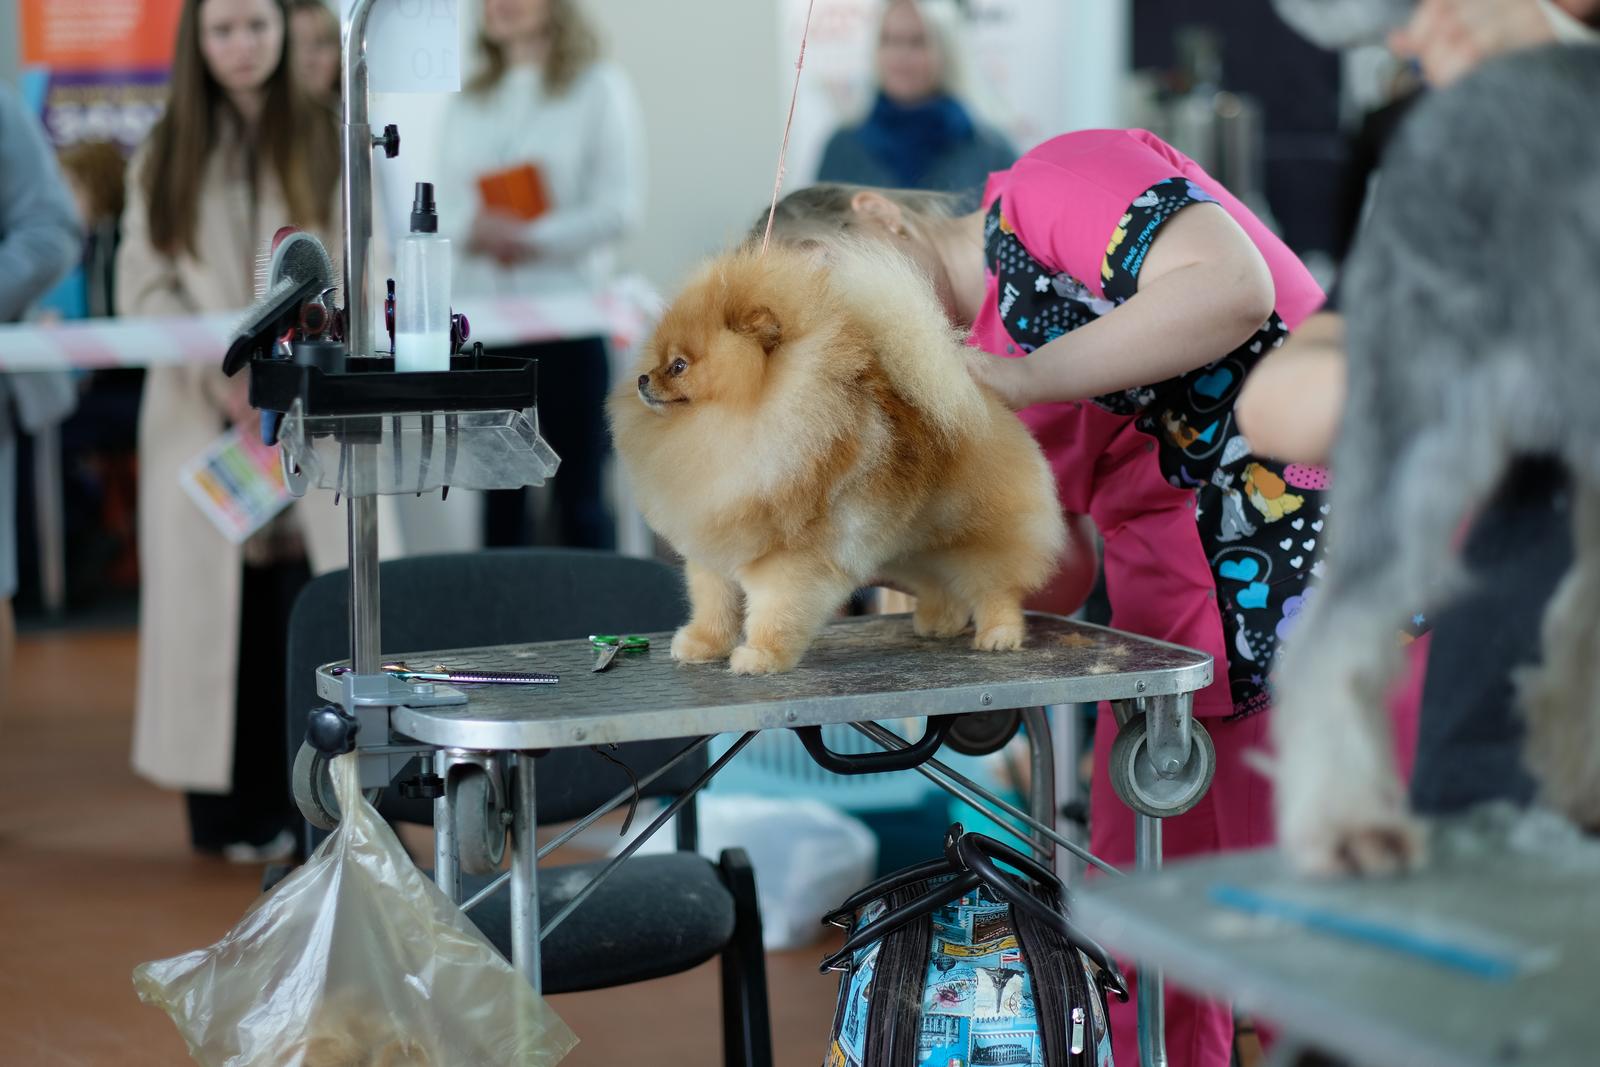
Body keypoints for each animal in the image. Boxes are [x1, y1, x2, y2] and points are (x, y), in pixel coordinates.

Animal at [604, 241, 1068, 675]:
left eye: (679, 365)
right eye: (657, 360)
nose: (643, 379)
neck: (734, 421)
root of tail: (979, 398)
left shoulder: (788, 558)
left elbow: (774, 609)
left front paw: (761, 656)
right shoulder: (713, 550)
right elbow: (713, 604)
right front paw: (703, 645)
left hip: (974, 535)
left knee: (994, 585)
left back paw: (999, 633)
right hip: (913, 542)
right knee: (940, 580)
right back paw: (939, 621)